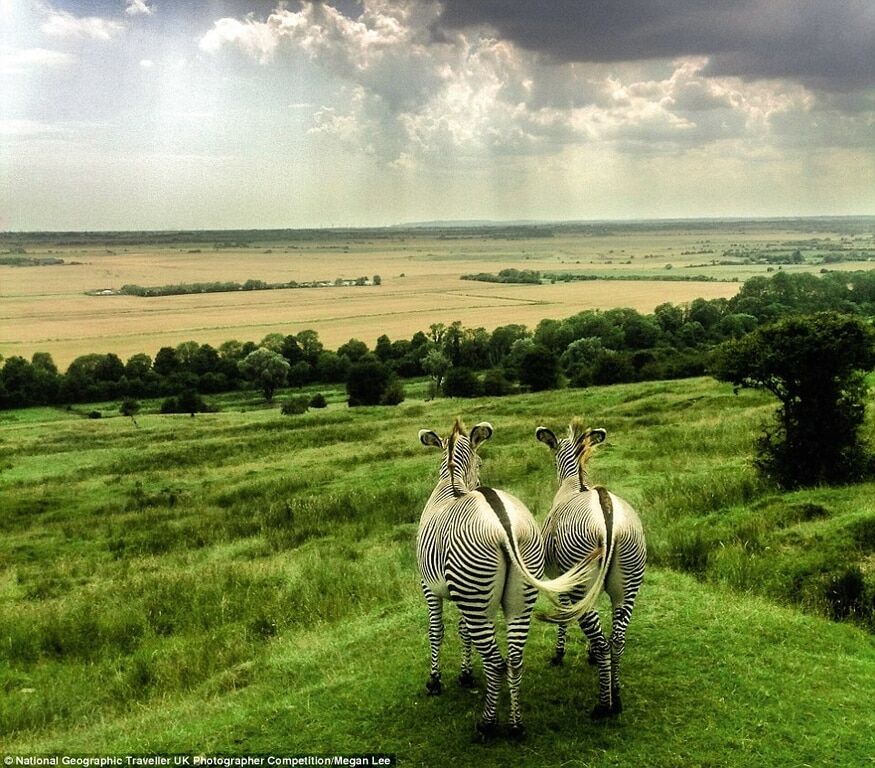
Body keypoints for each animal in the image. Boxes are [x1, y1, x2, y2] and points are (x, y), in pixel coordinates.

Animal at [418, 420, 604, 736]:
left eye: (480, 462)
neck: (451, 484)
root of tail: (503, 523)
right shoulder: (458, 589)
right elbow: (462, 631)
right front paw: (466, 674)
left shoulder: (429, 587)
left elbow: (437, 631)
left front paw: (435, 681)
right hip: (518, 591)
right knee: (515, 659)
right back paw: (516, 725)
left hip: (477, 594)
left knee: (496, 662)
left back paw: (488, 725)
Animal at [532, 420, 648, 720]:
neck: (576, 485)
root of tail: (605, 505)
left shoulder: (561, 578)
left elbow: (563, 613)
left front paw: (559, 653)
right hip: (628, 582)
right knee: (616, 640)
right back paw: (616, 695)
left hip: (580, 581)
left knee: (601, 639)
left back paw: (603, 705)